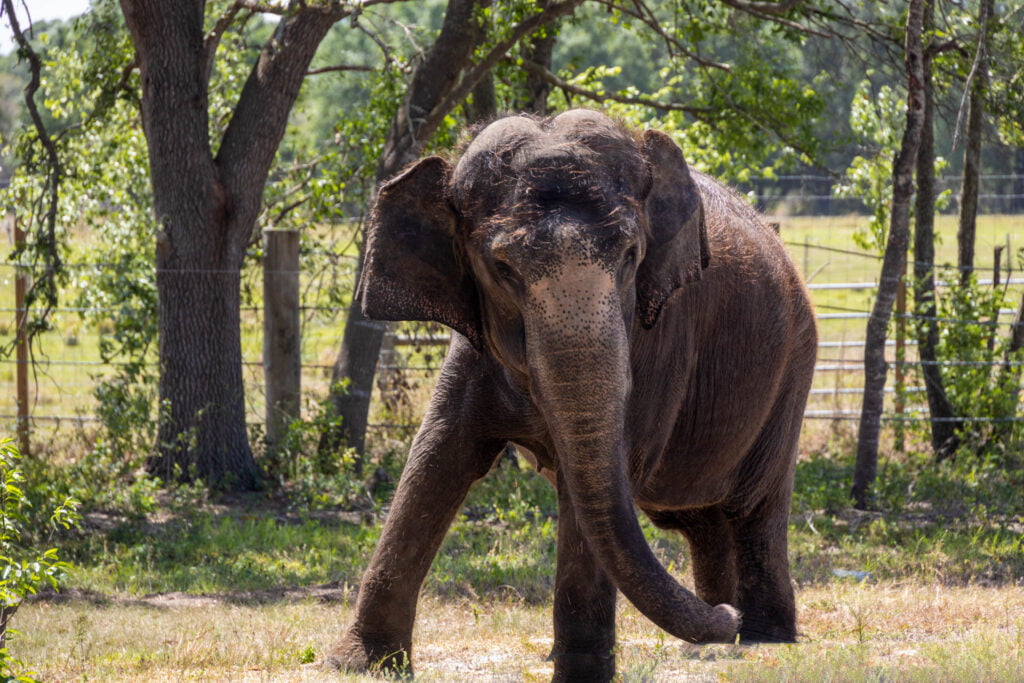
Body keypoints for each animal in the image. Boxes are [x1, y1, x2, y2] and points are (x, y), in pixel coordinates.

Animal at [327, 109, 817, 681]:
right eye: (503, 269)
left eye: (631, 255)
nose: (724, 617)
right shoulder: (472, 352)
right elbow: (436, 457)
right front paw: (360, 664)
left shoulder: (662, 335)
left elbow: (592, 486)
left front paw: (581, 673)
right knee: (702, 517)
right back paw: (721, 637)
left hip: (794, 366)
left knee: (754, 506)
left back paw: (760, 639)